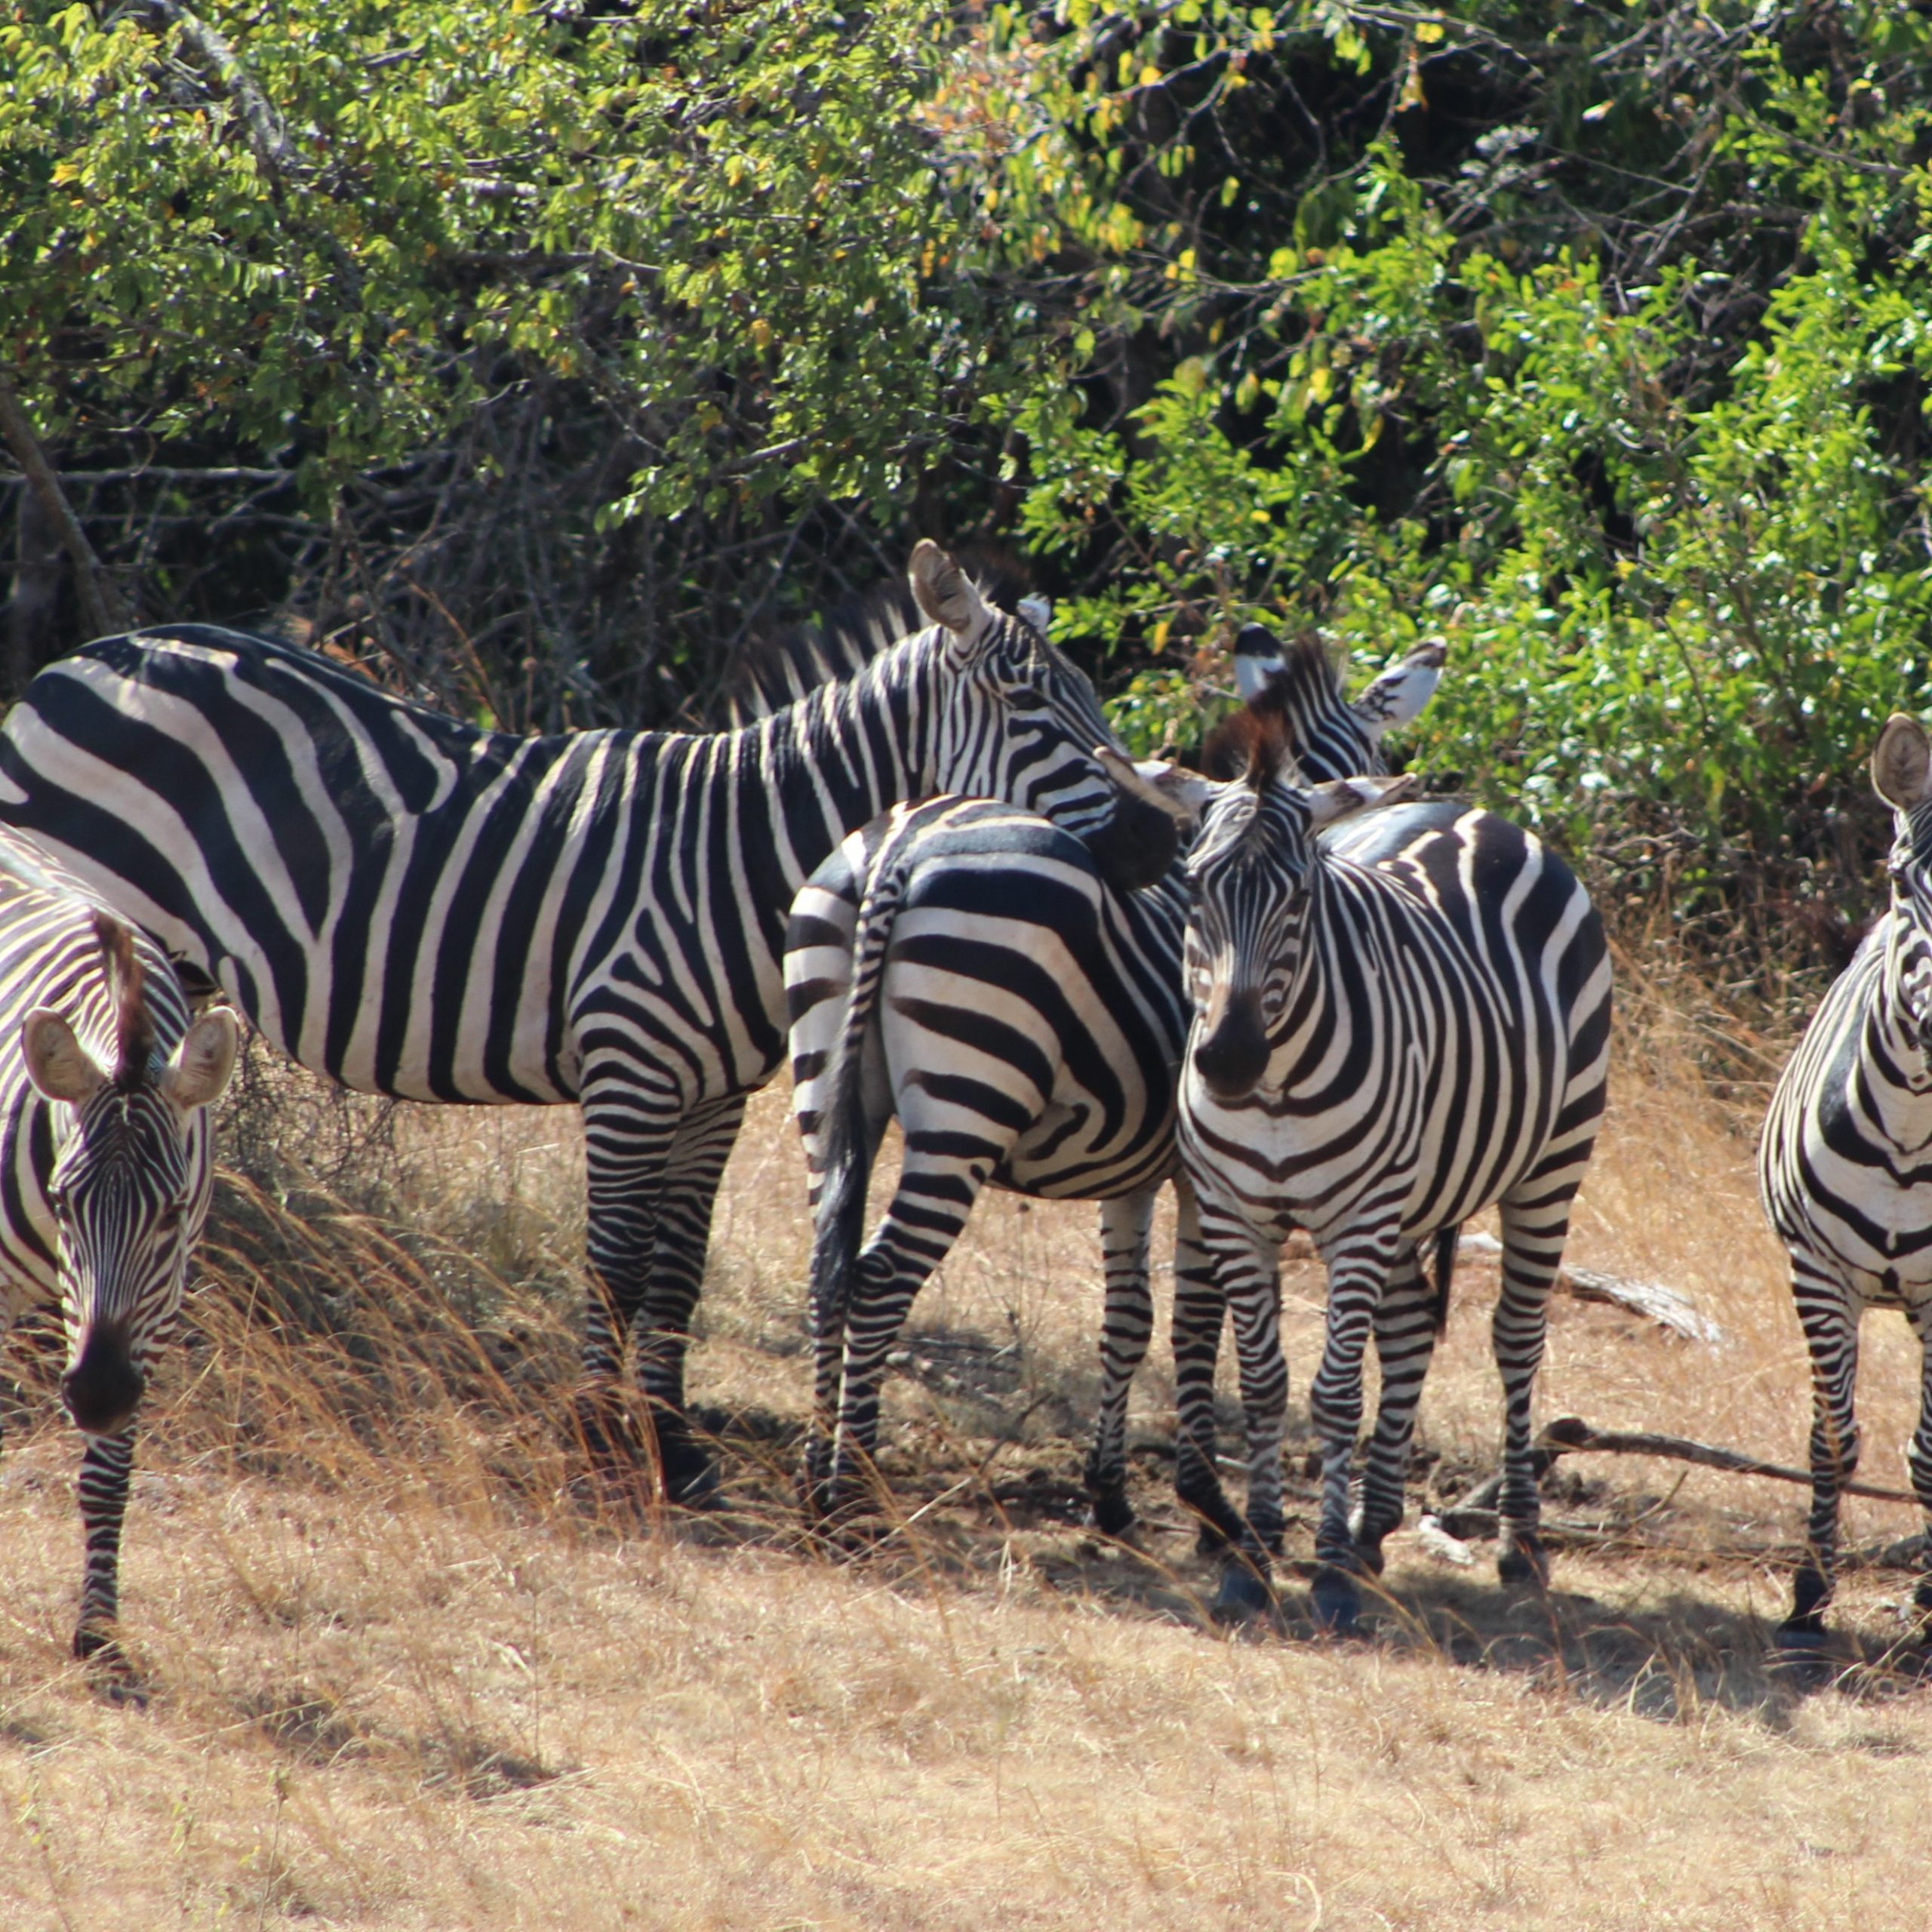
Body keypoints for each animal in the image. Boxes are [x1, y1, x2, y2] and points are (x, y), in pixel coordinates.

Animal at [0, 540, 1174, 1506]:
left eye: (1090, 697)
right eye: (1030, 706)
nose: (1156, 841)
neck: (737, 857)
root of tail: (81, 663)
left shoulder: (715, 1096)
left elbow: (681, 1265)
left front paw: (678, 1450)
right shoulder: (631, 1068)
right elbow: (615, 1262)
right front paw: (599, 1447)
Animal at [0, 823, 235, 1684]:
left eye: (170, 1213)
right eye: (67, 1201)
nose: (97, 1396)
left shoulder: (153, 1311)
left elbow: (109, 1480)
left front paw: (98, 1631)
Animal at [777, 626, 1444, 1530]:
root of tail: (899, 849)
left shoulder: (1133, 1170)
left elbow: (1128, 1318)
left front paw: (1111, 1491)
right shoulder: (1203, 1176)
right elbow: (1198, 1319)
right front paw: (1206, 1502)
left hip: (825, 1075)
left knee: (828, 1260)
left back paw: (815, 1473)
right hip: (967, 1102)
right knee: (880, 1276)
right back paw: (851, 1490)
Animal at [1174, 695, 1615, 1630]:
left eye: (1300, 896)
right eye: (1192, 886)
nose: (1227, 1060)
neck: (1275, 1083)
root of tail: (1471, 812)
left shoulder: (1356, 1217)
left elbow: (1335, 1392)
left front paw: (1328, 1576)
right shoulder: (1233, 1212)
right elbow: (1262, 1383)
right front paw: (1256, 1557)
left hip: (1550, 1162)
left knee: (1515, 1337)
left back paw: (1518, 1541)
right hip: (1413, 1193)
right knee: (1410, 1325)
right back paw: (1373, 1525)